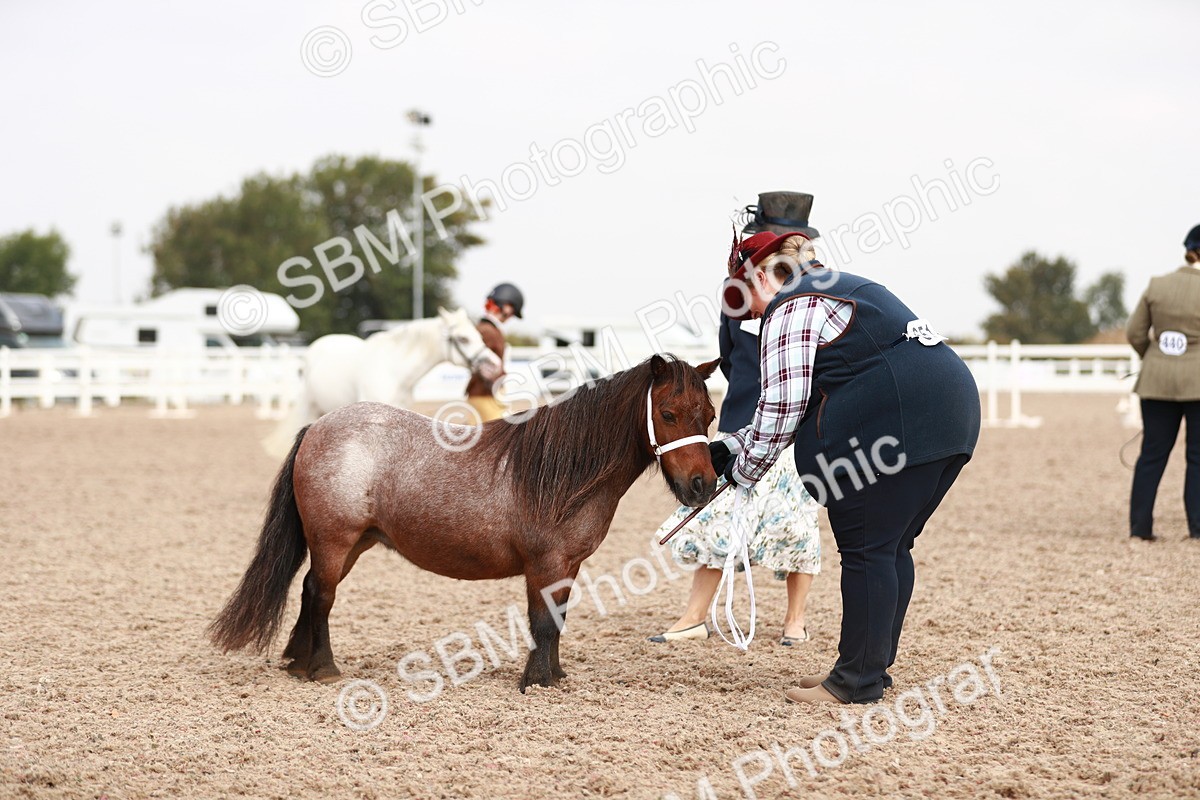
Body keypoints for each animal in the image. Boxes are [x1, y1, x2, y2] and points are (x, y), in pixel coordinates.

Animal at [211, 354, 720, 691]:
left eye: (711, 414)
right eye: (667, 413)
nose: (703, 485)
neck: (563, 470)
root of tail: (318, 427)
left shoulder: (568, 566)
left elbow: (556, 620)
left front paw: (554, 676)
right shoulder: (544, 564)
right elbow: (542, 623)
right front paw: (536, 682)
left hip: (354, 543)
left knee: (307, 590)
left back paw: (298, 662)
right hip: (334, 540)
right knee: (320, 595)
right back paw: (322, 668)